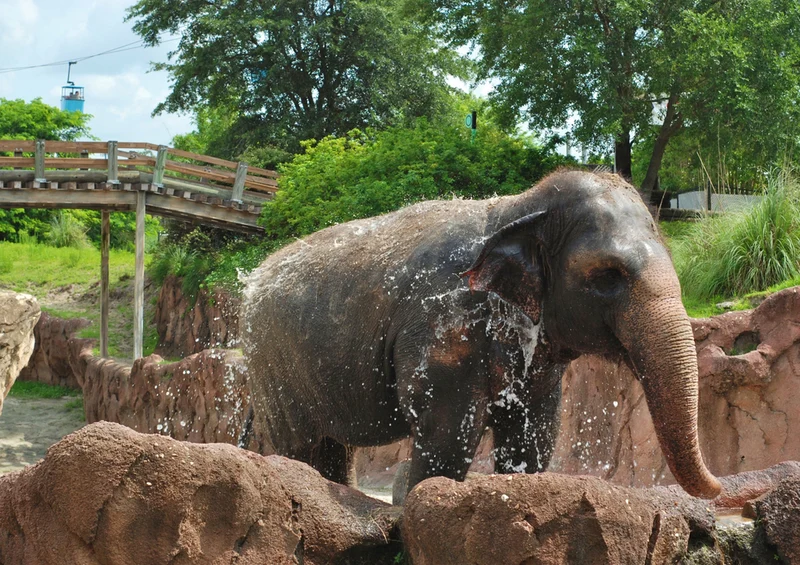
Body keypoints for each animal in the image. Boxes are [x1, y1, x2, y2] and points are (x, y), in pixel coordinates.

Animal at [241, 170, 722, 503]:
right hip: (273, 364)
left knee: (335, 446)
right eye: (608, 276)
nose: (718, 487)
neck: (519, 207)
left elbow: (533, 436)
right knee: (301, 443)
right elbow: (447, 435)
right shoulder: (443, 323)